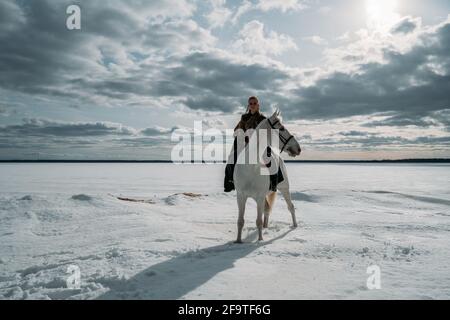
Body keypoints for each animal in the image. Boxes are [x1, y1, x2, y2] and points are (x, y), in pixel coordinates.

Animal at [232, 110, 302, 242]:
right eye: (282, 128)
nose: (298, 148)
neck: (251, 167)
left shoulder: (259, 197)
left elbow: (258, 221)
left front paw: (260, 240)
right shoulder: (241, 197)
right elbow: (240, 221)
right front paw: (238, 241)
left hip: (284, 188)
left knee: (290, 207)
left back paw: (295, 226)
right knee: (267, 210)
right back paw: (266, 227)